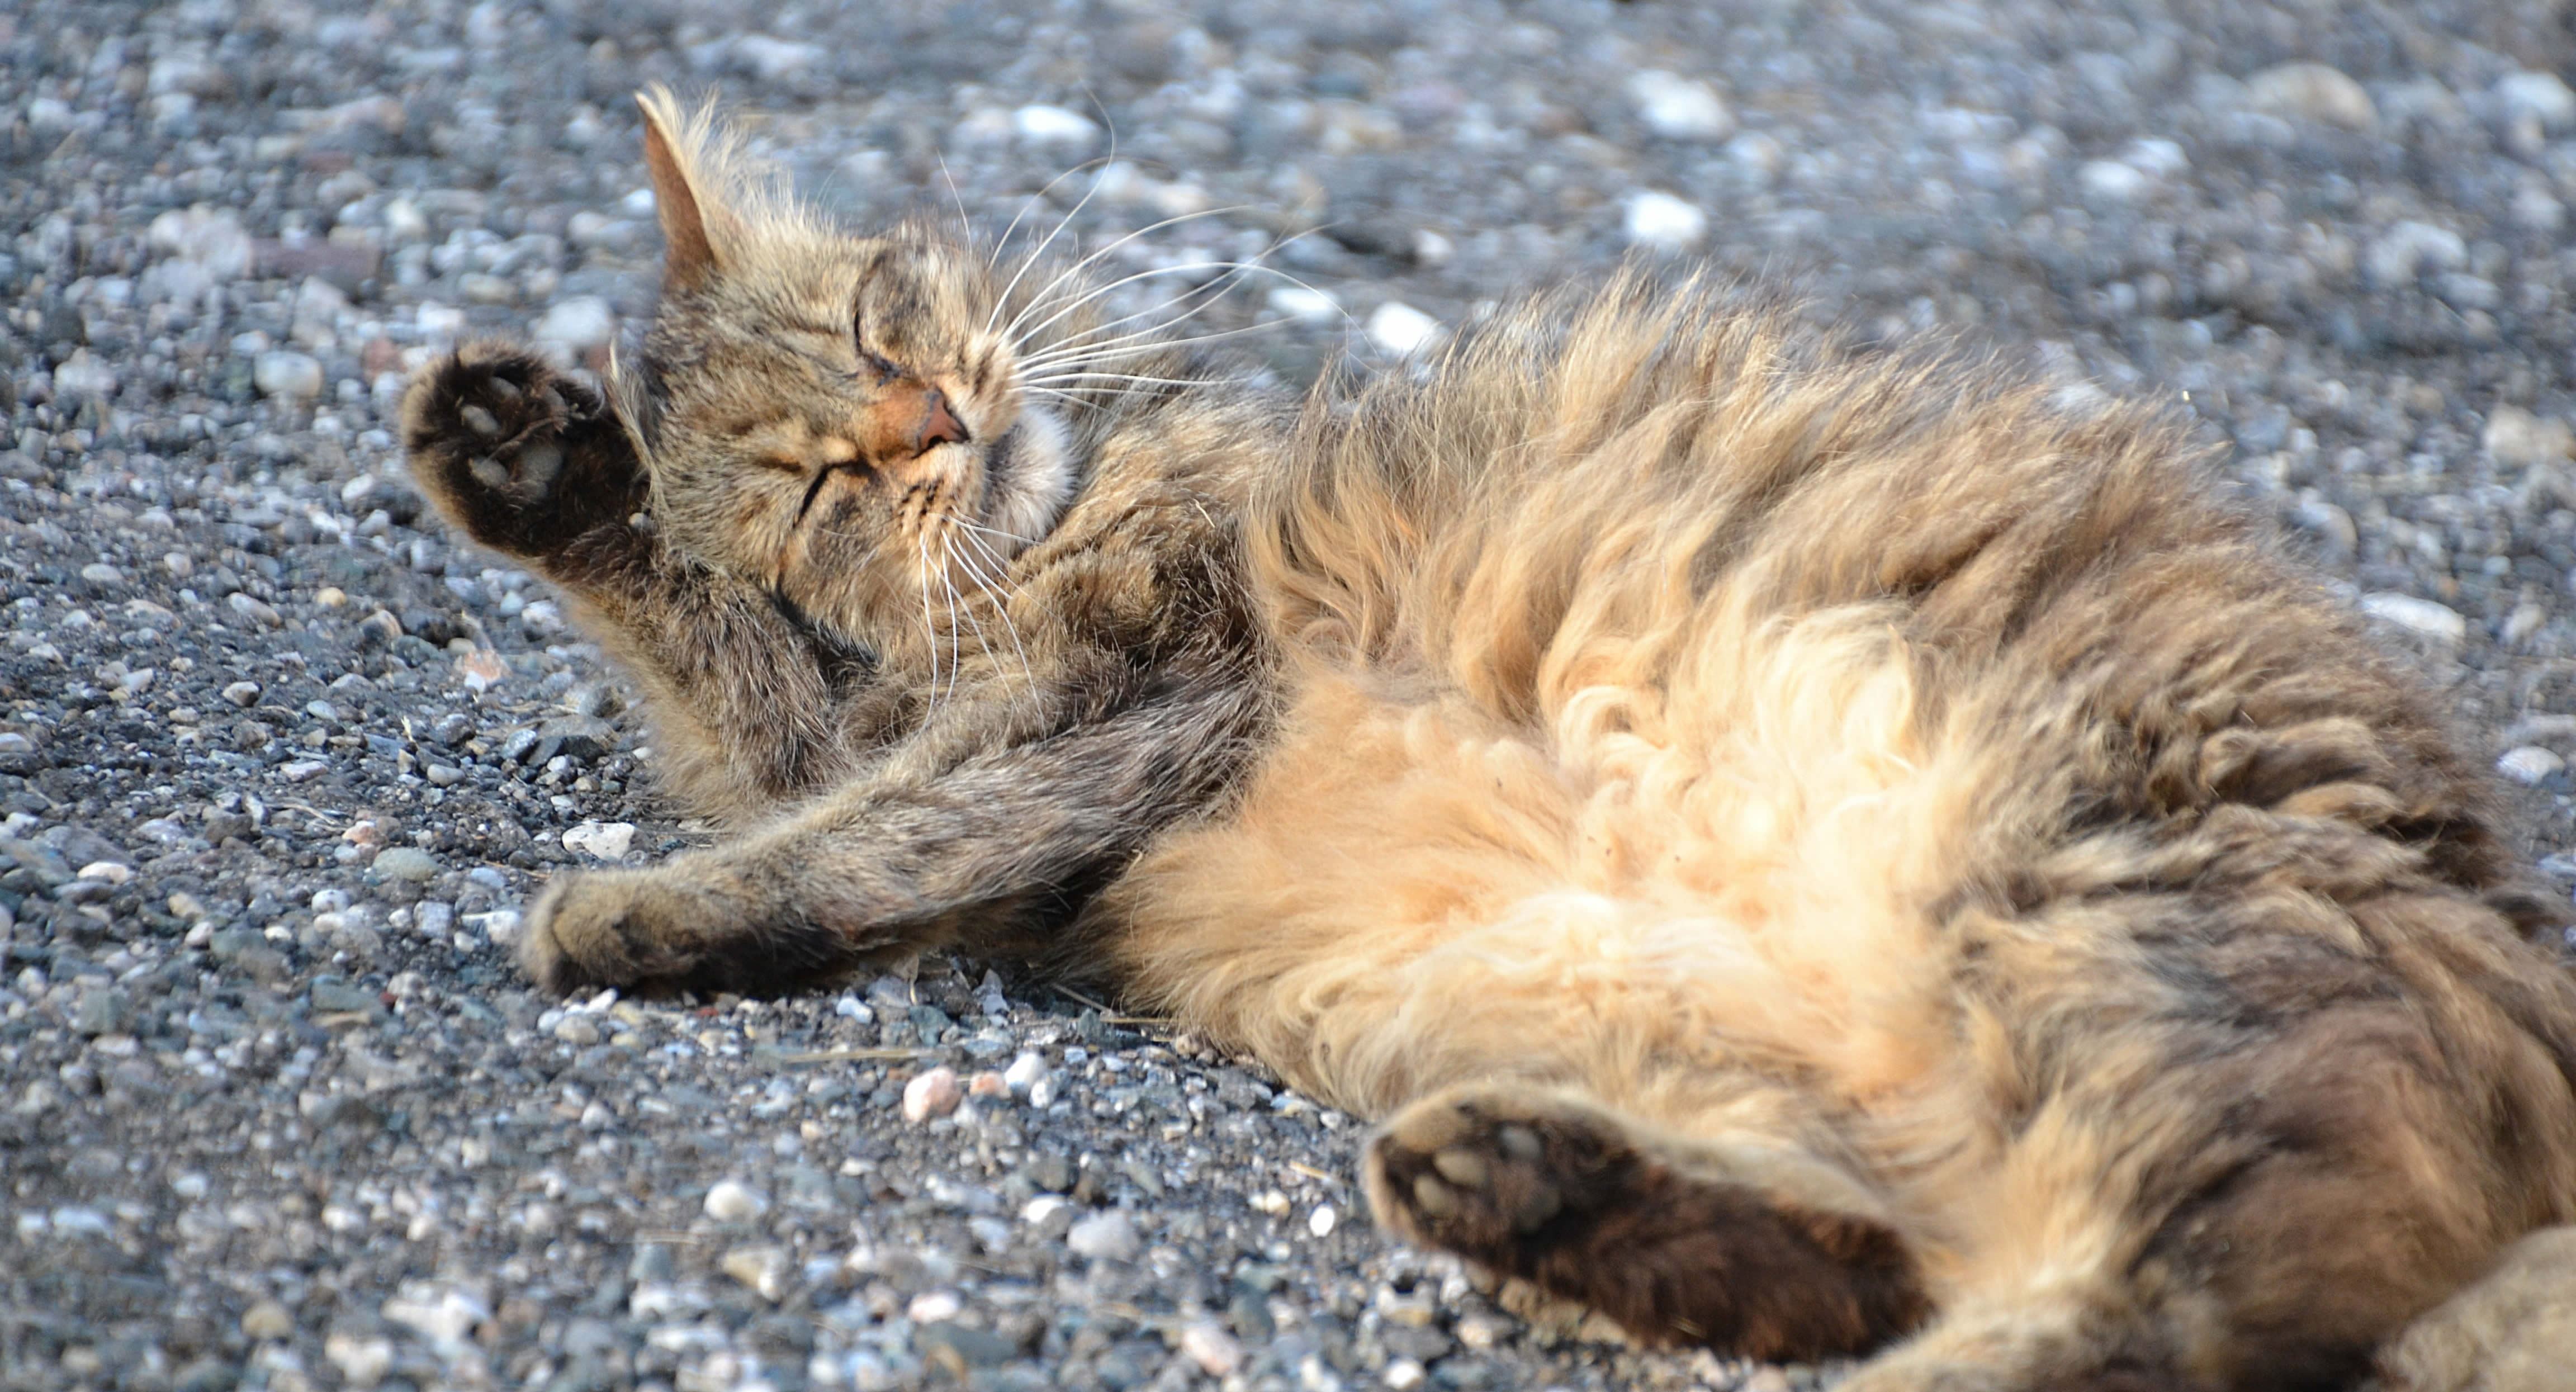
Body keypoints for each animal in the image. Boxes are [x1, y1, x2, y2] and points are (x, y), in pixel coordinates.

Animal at [401, 92, 2576, 1381]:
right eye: (820, 487)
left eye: (877, 323)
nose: (933, 419)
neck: (1066, 520)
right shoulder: (981, 734)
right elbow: (769, 741)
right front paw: (537, 471)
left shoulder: (1127, 698)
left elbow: (840, 836)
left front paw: (627, 903)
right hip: (1775, 1030)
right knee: (1919, 1268)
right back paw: (1515, 1184)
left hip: (2080, 922)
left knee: (2140, 1318)